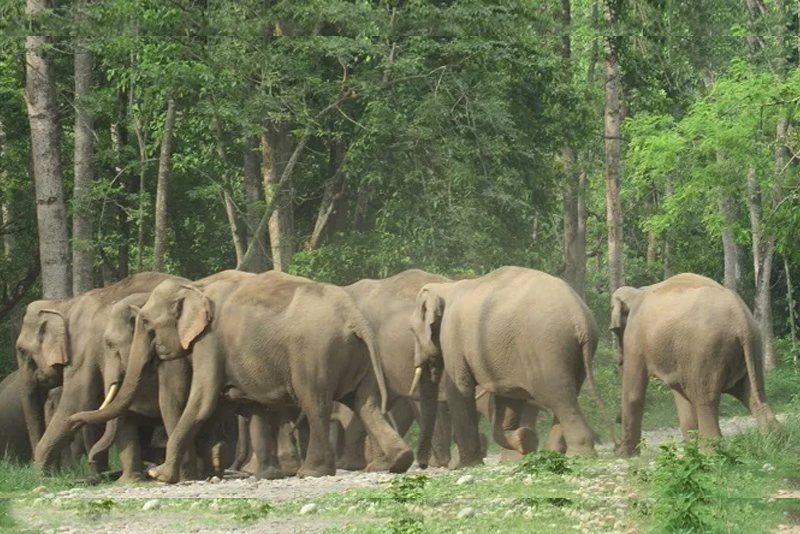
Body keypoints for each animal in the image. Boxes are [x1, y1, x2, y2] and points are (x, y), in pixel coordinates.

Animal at [15, 272, 170, 474]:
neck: (64, 304)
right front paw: (99, 471)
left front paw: (39, 473)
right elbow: (96, 405)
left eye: (22, 351)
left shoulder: (83, 350)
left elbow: (78, 401)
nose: (36, 468)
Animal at [410, 268, 608, 468]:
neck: (445, 287)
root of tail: (579, 316)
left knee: (558, 398)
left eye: (412, 331)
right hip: (575, 355)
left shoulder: (452, 337)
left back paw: (579, 455)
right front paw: (524, 440)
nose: (423, 465)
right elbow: (507, 398)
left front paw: (467, 465)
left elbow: (460, 389)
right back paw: (551, 453)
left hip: (547, 350)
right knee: (568, 395)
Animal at [612, 274, 776, 458]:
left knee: (705, 400)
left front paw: (624, 454)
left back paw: (711, 453)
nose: (618, 361)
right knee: (754, 394)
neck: (637, 292)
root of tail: (742, 321)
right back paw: (774, 443)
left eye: (615, 330)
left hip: (706, 350)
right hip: (752, 347)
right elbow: (681, 394)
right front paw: (690, 449)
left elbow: (633, 394)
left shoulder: (635, 337)